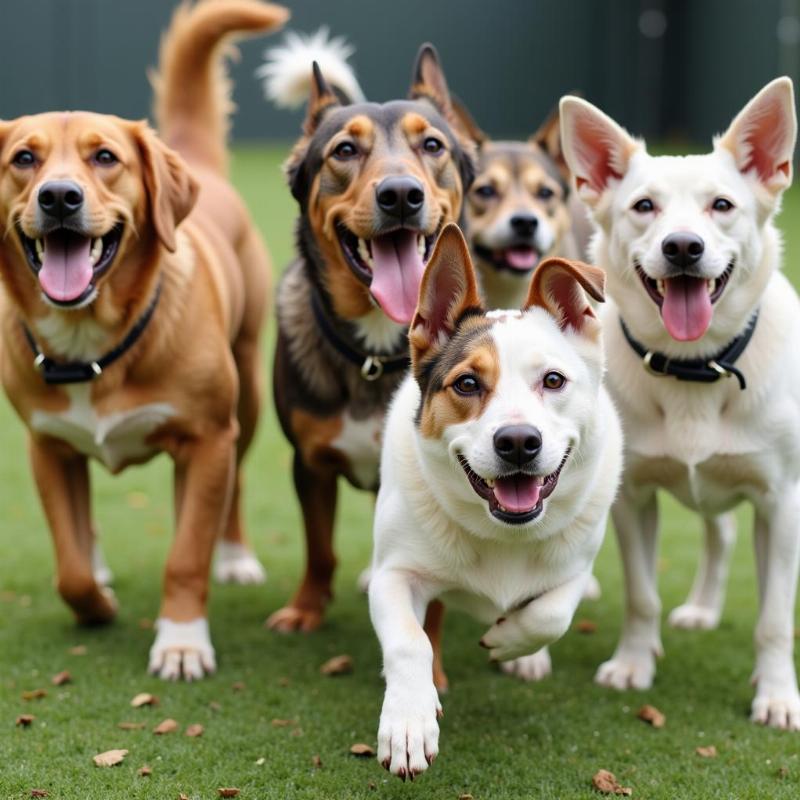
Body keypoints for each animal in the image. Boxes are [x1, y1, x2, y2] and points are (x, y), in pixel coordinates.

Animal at [0, 0, 290, 680]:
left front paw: (181, 640)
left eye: (105, 158)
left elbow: (184, 555)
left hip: (245, 398)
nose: (59, 197)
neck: (91, 344)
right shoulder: (45, 447)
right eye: (23, 159)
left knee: (232, 489)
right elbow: (69, 565)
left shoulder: (207, 440)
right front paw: (96, 603)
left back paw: (232, 555)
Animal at [260, 32, 476, 632]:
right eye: (344, 151)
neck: (378, 351)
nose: (401, 194)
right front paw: (306, 608)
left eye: (432, 145)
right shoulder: (308, 463)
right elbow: (319, 547)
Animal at [368, 222, 624, 780]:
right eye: (467, 383)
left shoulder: (575, 568)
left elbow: (552, 614)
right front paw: (409, 721)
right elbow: (409, 641)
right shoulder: (394, 575)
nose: (518, 442)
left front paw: (509, 641)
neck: (503, 529)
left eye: (553, 380)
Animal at [560, 78, 800, 728]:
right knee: (721, 535)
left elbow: (774, 617)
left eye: (722, 205)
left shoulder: (781, 504)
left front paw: (776, 693)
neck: (695, 368)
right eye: (644, 207)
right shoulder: (631, 498)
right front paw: (634, 664)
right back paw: (701, 607)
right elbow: (641, 595)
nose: (684, 248)